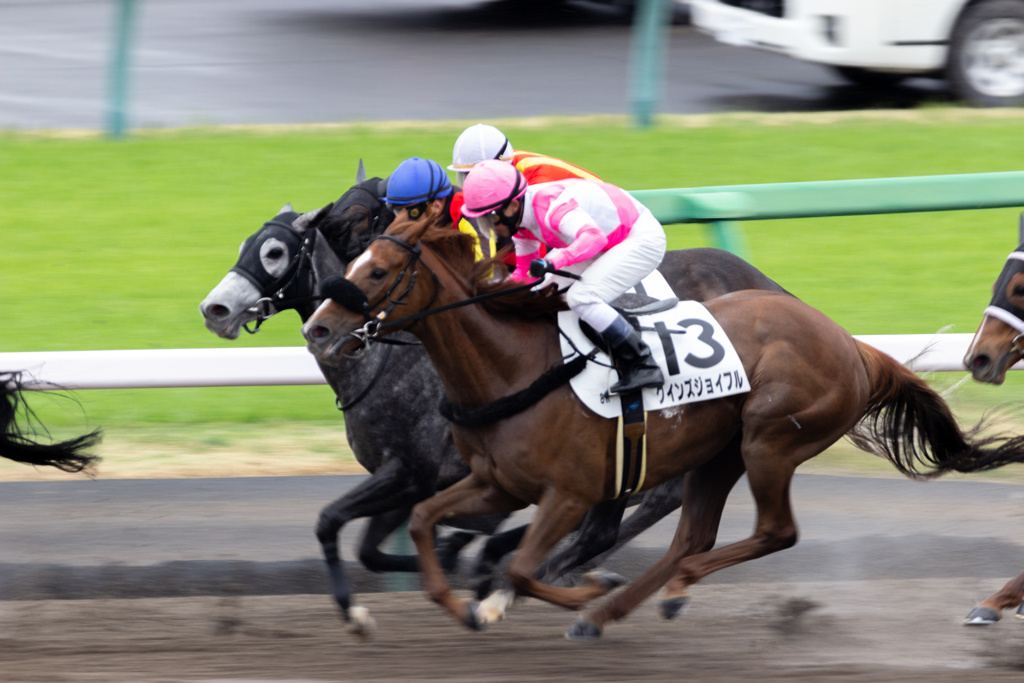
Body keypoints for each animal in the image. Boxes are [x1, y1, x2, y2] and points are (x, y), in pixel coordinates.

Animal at [301, 218, 1024, 643]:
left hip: (768, 440)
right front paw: (461, 604)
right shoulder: (493, 482)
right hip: (718, 454)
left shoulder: (566, 493)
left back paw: (651, 596)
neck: (514, 365)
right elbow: (428, 523)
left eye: (377, 271)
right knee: (691, 537)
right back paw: (619, 608)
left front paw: (543, 592)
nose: (318, 327)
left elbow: (522, 565)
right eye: (351, 262)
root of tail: (852, 345)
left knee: (772, 532)